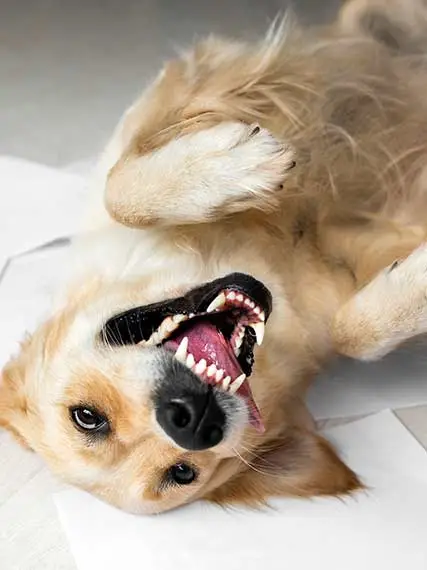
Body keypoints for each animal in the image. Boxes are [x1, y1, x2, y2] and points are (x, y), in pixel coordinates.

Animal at [0, 0, 427, 516]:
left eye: (86, 417)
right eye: (183, 473)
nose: (191, 421)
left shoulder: (168, 98)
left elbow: (118, 190)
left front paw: (230, 168)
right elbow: (353, 335)